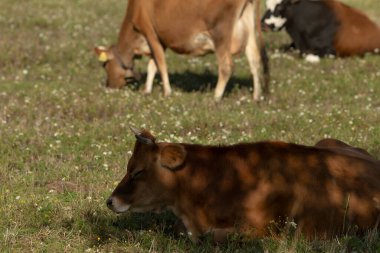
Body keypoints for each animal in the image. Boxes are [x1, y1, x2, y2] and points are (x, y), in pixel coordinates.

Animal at [93, 0, 268, 101]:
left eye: (105, 66)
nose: (109, 86)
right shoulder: (161, 38)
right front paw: (147, 90)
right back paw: (256, 96)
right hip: (249, 27)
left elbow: (160, 63)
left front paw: (167, 92)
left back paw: (216, 96)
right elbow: (152, 65)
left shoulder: (150, 33)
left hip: (221, 31)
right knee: (255, 60)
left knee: (226, 66)